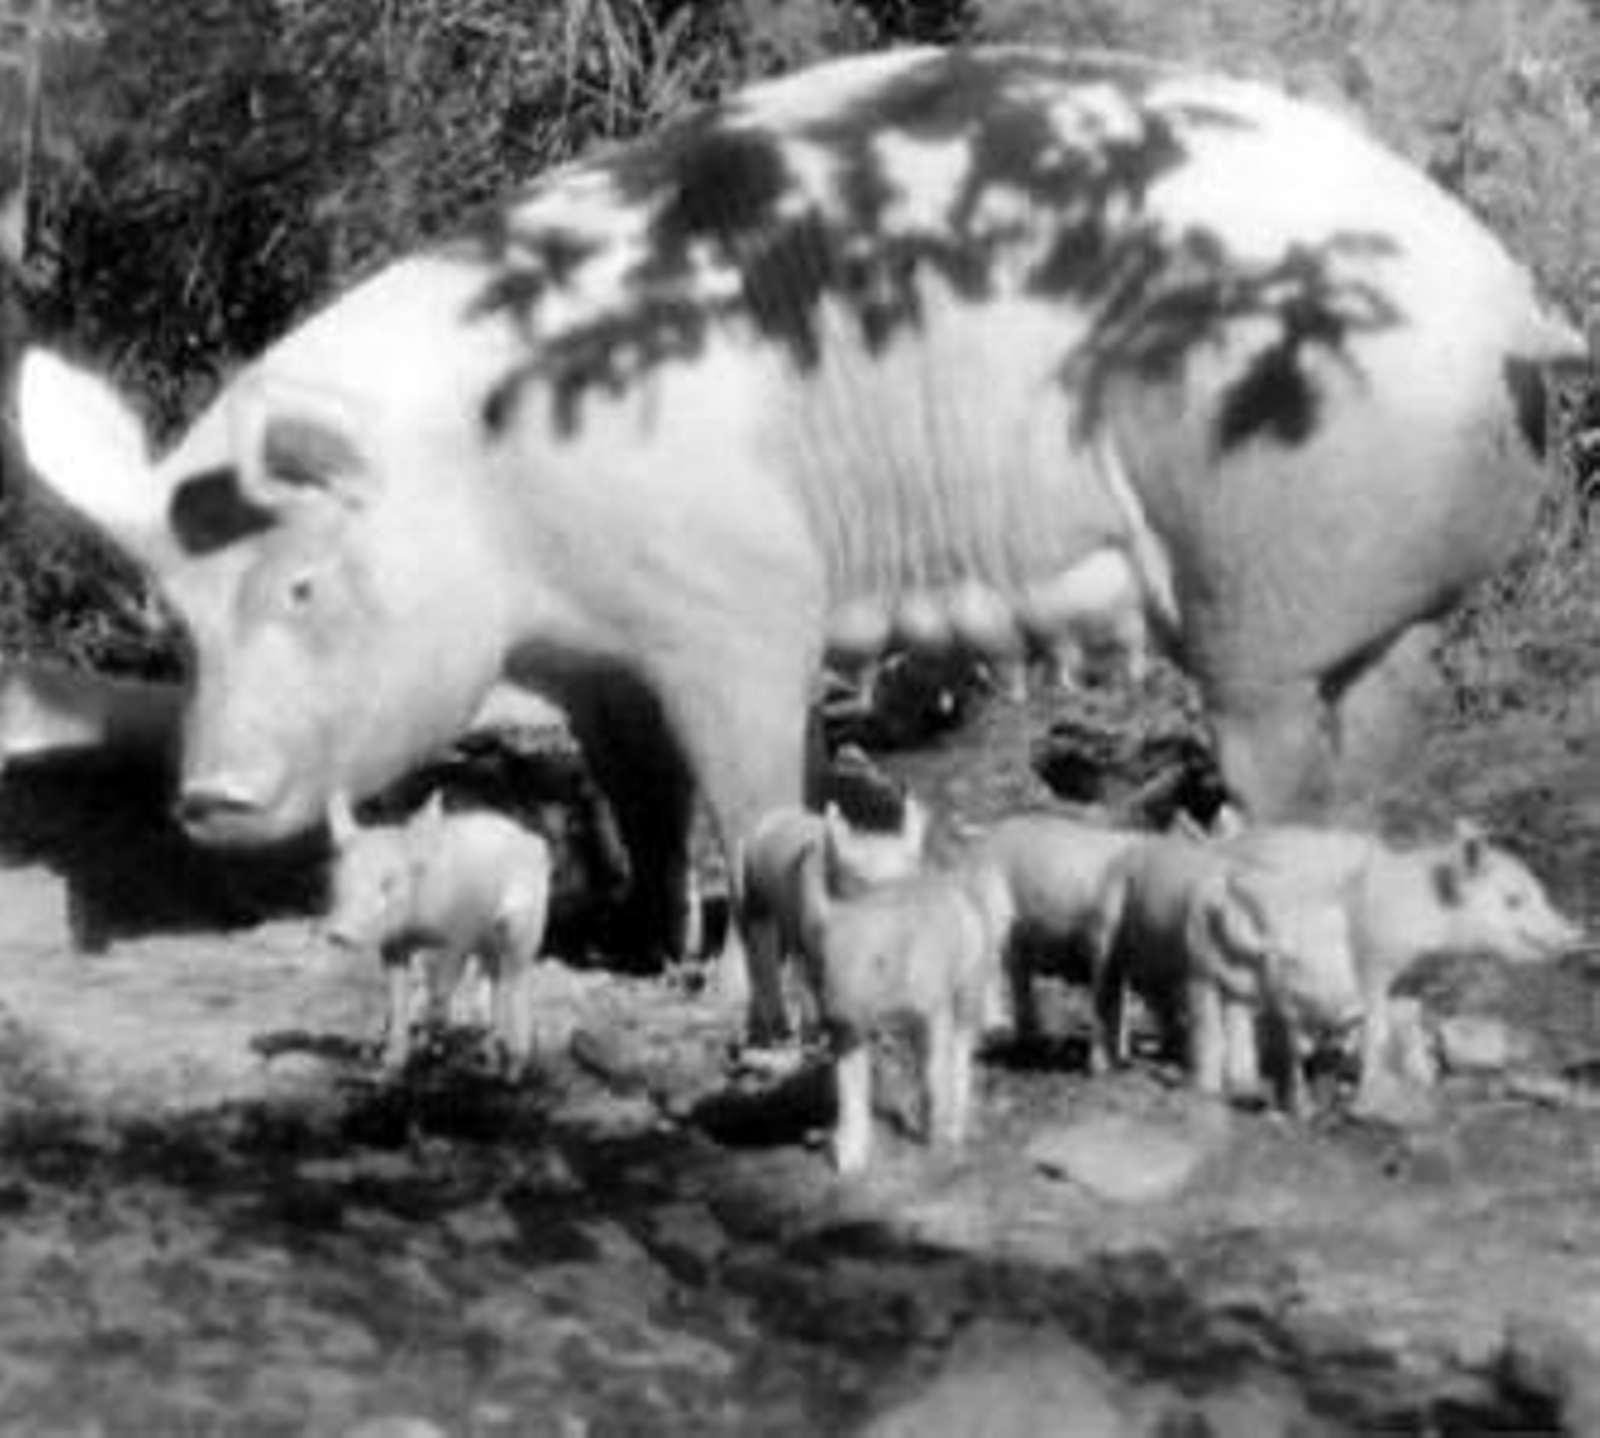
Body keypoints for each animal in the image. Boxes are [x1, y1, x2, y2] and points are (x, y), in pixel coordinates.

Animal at [16, 47, 1583, 1023]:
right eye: (173, 619)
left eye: (301, 582)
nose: (206, 796)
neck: (493, 478)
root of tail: (1512, 302)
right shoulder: (594, 654)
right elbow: (642, 793)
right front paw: (635, 944)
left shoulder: (737, 601)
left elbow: (755, 781)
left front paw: (713, 989)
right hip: (1374, 610)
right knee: (1388, 729)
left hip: (1252, 592)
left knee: (1284, 756)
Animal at [325, 791, 553, 1075]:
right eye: (338, 881)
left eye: (388, 883)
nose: (338, 933)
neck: (418, 924)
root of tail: (532, 839)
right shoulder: (395, 944)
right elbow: (398, 997)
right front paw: (391, 1063)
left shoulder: (459, 935)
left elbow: (440, 990)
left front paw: (431, 1050)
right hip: (488, 942)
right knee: (494, 984)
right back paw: (486, 1057)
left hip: (524, 927)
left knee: (517, 981)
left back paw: (514, 1069)